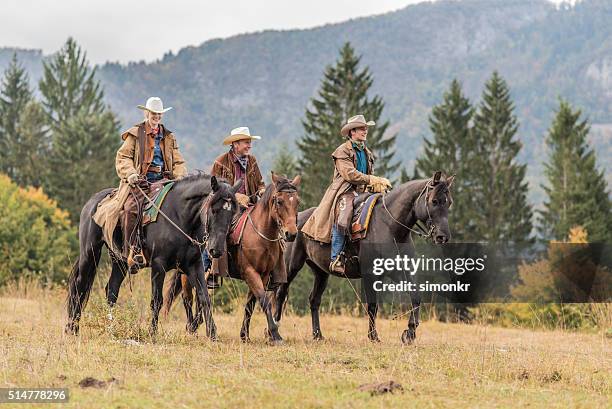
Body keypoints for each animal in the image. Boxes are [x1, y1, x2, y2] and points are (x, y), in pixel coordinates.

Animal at [65, 173, 241, 338]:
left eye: (232, 213)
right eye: (213, 209)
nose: (216, 250)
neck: (179, 216)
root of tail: (92, 202)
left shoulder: (194, 265)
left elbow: (204, 297)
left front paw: (212, 334)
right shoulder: (158, 265)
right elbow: (157, 300)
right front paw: (152, 333)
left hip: (119, 260)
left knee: (112, 291)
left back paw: (110, 328)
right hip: (90, 253)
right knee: (80, 286)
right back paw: (72, 327)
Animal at [164, 173, 300, 344]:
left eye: (297, 202)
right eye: (279, 201)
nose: (291, 234)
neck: (260, 235)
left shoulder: (262, 275)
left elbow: (251, 303)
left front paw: (245, 335)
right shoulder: (250, 272)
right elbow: (263, 300)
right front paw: (276, 335)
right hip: (187, 272)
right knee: (187, 297)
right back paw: (191, 328)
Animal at [274, 172, 452, 344]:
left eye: (449, 203)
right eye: (434, 201)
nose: (443, 237)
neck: (389, 226)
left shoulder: (401, 272)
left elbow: (415, 297)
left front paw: (409, 333)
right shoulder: (370, 274)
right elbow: (372, 305)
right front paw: (373, 336)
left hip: (321, 272)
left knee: (314, 300)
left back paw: (317, 335)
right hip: (290, 267)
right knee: (281, 294)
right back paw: (275, 328)